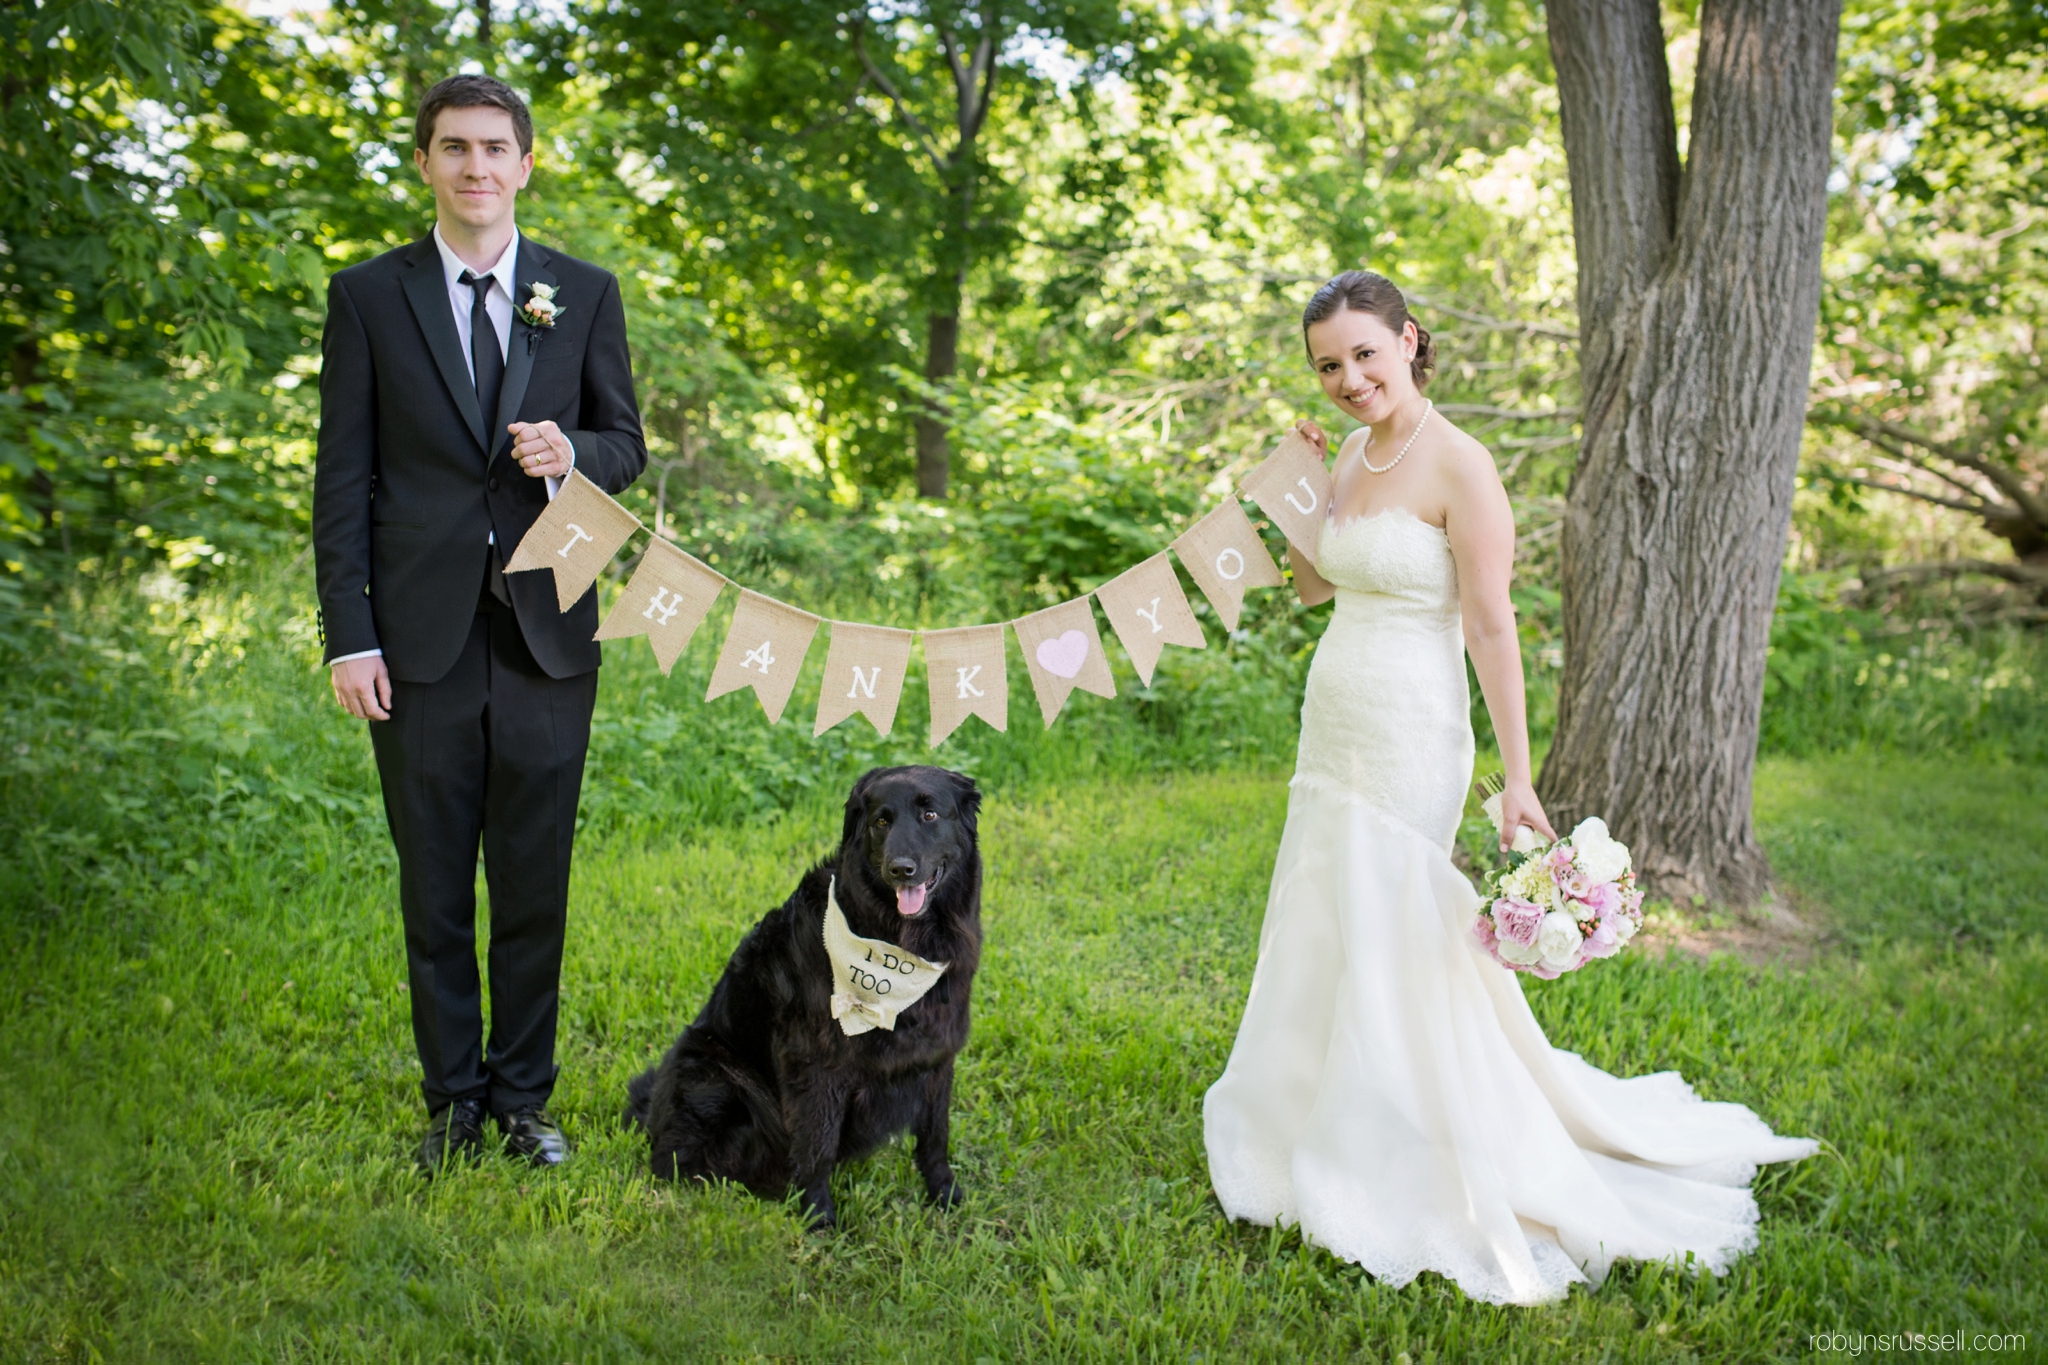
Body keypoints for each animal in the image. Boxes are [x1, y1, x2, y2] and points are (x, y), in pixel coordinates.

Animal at [618, 769, 978, 1227]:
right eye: (881, 821)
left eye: (930, 814)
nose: (900, 870)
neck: (899, 943)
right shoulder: (814, 1063)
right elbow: (816, 1144)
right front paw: (818, 1216)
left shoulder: (938, 1055)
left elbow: (935, 1138)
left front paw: (944, 1194)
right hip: (714, 1072)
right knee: (677, 1159)